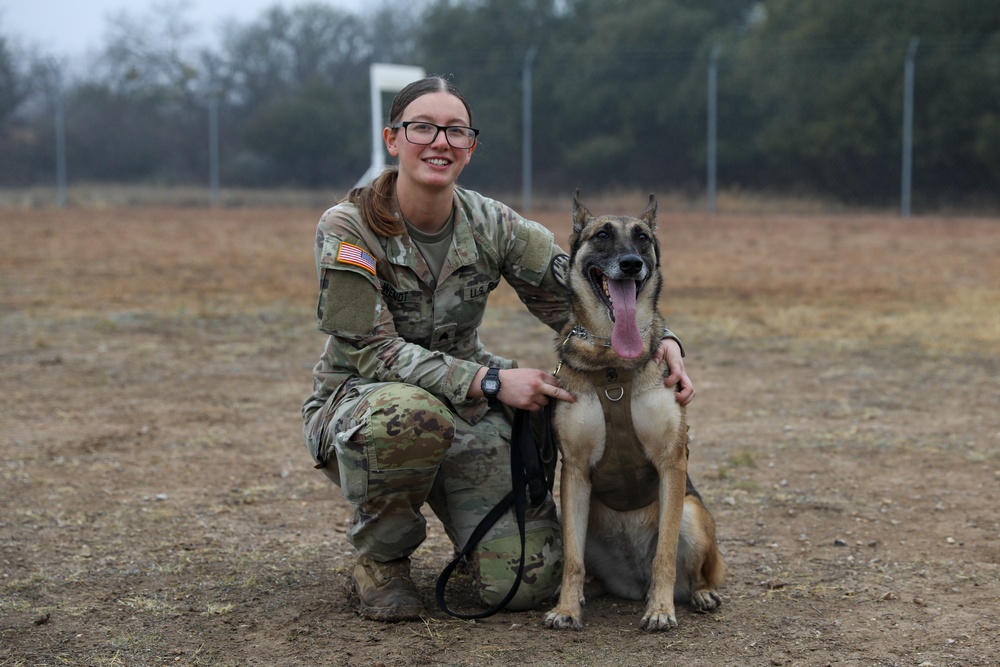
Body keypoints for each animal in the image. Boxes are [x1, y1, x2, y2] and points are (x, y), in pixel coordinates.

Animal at [544, 192, 724, 632]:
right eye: (602, 235)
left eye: (641, 237)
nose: (630, 263)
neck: (612, 362)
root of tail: (633, 580)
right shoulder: (574, 471)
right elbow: (571, 560)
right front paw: (566, 609)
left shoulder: (671, 463)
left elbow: (665, 554)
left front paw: (660, 610)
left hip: (692, 513)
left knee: (696, 573)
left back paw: (698, 594)